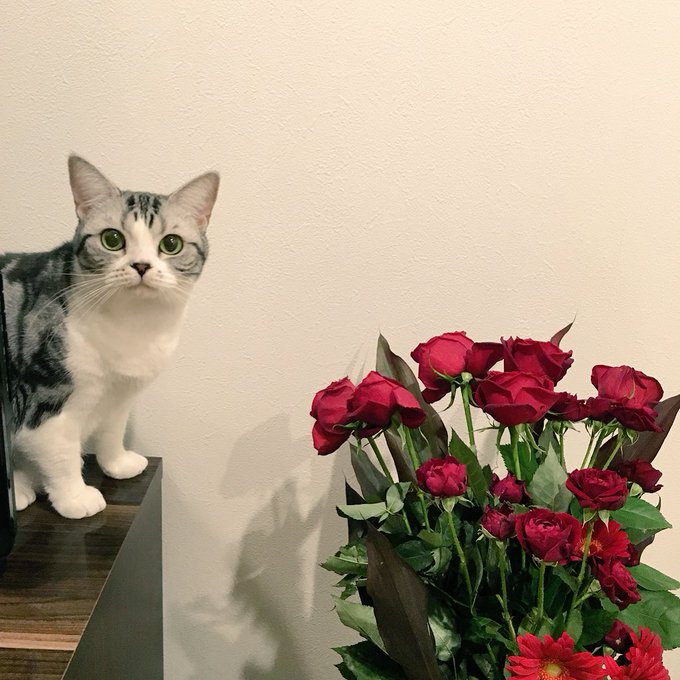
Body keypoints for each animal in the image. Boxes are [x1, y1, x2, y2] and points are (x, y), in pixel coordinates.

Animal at [0, 156, 219, 519]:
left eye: (171, 244)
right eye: (112, 239)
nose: (141, 266)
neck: (132, 325)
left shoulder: (120, 394)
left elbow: (112, 431)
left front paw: (118, 463)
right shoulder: (43, 397)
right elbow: (61, 454)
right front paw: (75, 497)